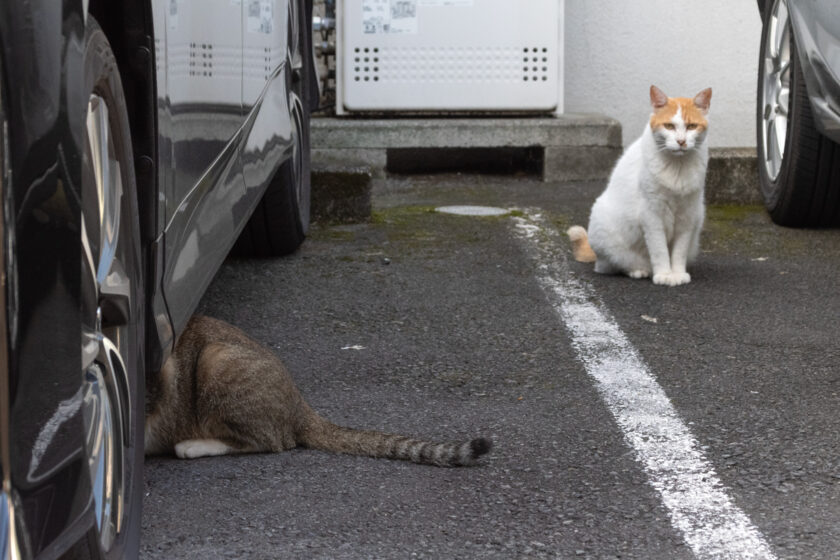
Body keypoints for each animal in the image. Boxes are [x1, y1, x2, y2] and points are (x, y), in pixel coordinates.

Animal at [568, 85, 712, 286]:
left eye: (691, 126)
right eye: (669, 126)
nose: (681, 141)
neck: (677, 167)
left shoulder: (688, 215)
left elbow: (679, 251)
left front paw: (677, 273)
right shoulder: (651, 215)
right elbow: (659, 249)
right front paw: (664, 274)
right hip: (605, 228)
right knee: (612, 265)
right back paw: (640, 271)